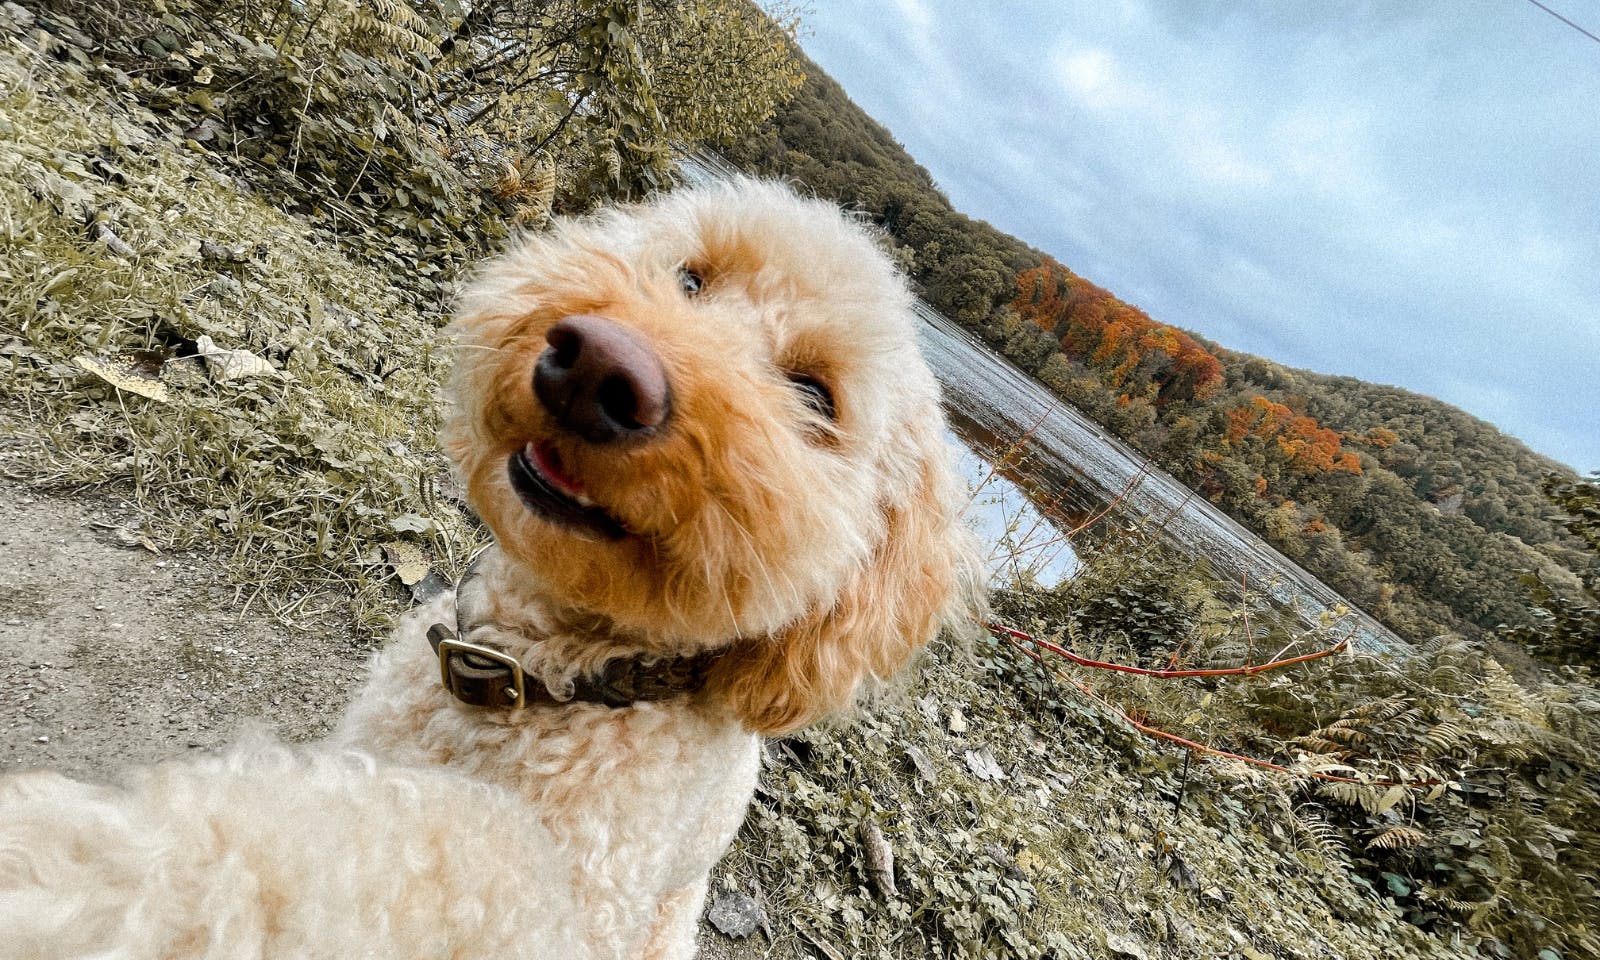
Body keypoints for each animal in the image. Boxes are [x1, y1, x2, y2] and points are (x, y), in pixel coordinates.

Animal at [0, 180, 979, 960]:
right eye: (692, 277)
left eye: (814, 395)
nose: (599, 365)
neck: (533, 672)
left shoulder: (571, 890)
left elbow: (394, 866)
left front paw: (103, 885)